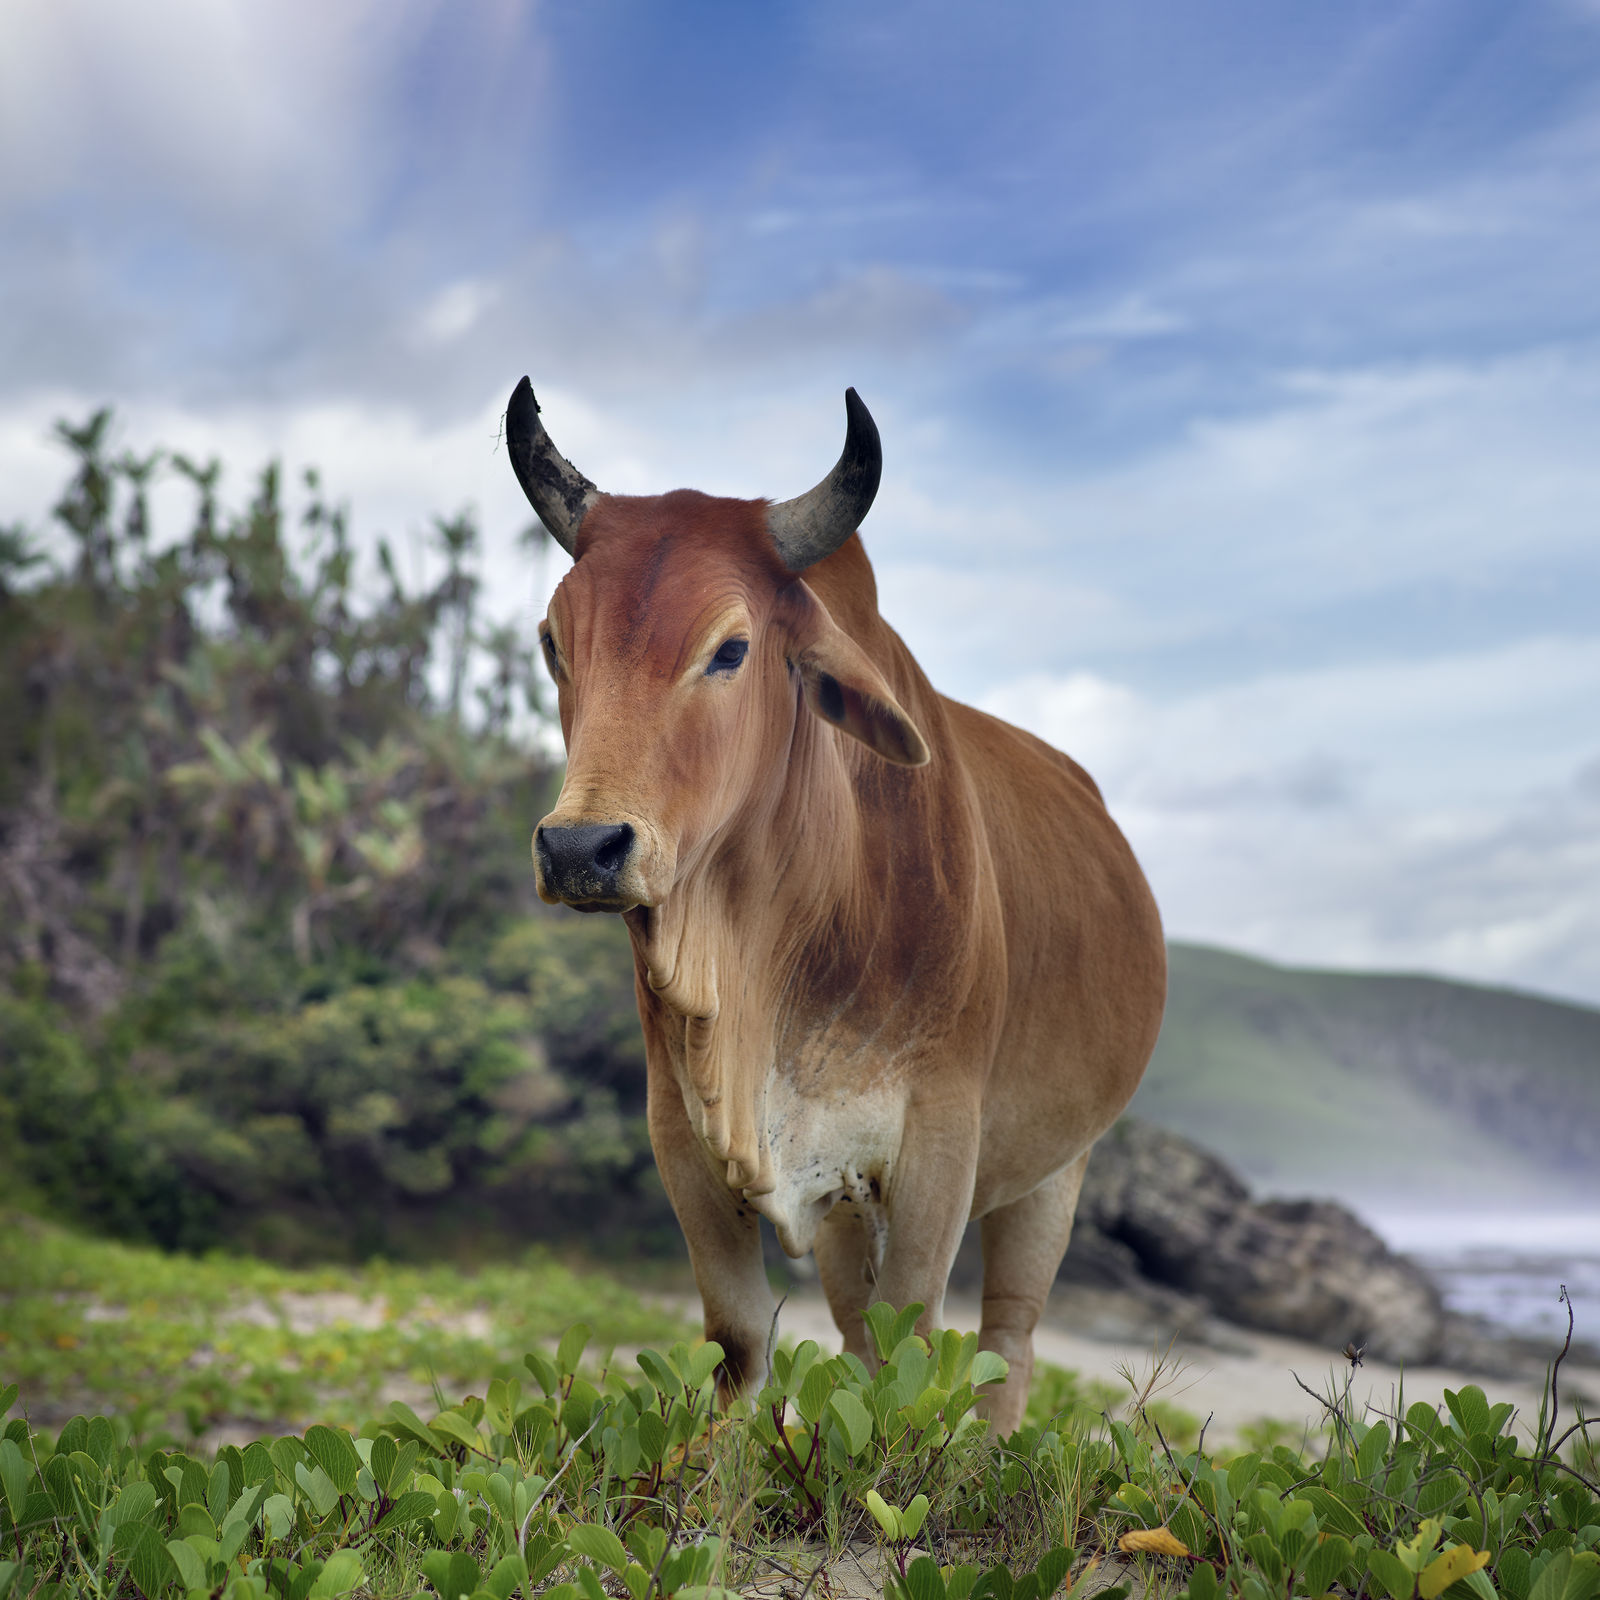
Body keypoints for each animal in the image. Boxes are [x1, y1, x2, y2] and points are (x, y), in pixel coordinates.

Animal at [506, 378, 1165, 1433]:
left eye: (731, 648)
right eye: (554, 644)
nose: (580, 849)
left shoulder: (941, 1143)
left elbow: (913, 1348)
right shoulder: (684, 1137)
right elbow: (742, 1347)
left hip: (1058, 1168)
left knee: (1009, 1342)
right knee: (859, 1335)